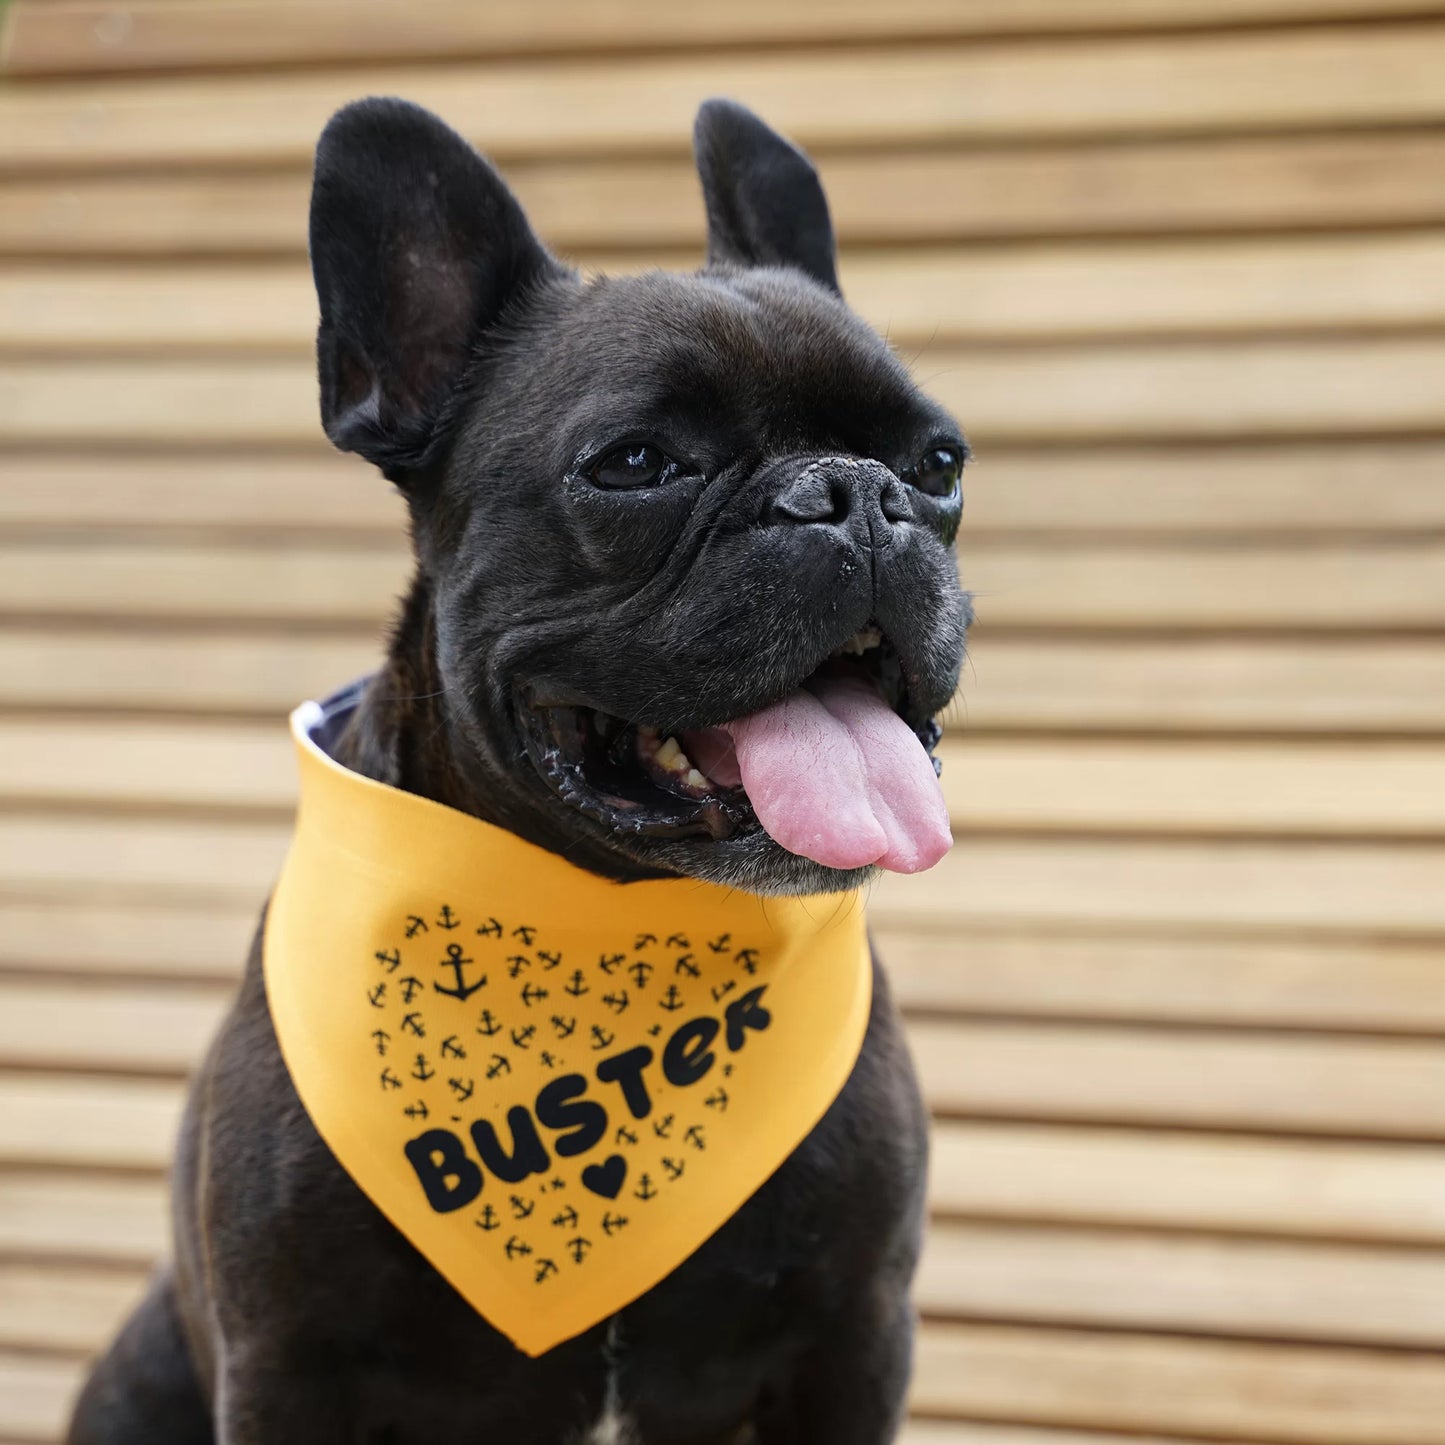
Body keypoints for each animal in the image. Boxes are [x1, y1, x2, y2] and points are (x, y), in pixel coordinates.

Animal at [67, 96, 971, 1439]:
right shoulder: (289, 1360)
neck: (618, 917)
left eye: (938, 463)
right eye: (636, 464)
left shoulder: (852, 1336)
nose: (855, 494)